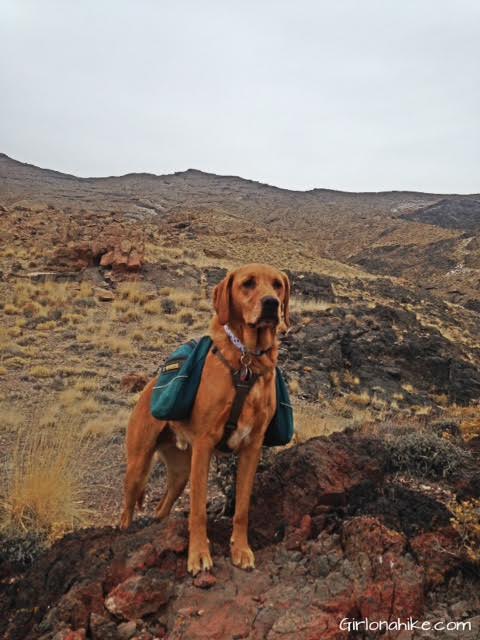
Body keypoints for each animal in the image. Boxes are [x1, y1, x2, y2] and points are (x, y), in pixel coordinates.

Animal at [119, 262, 292, 572]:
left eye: (277, 285)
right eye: (248, 283)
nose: (271, 303)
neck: (247, 360)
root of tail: (150, 386)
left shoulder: (252, 448)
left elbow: (242, 509)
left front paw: (241, 549)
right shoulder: (204, 445)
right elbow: (198, 510)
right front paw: (198, 554)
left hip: (180, 471)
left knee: (162, 507)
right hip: (138, 466)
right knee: (126, 508)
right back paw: (125, 531)